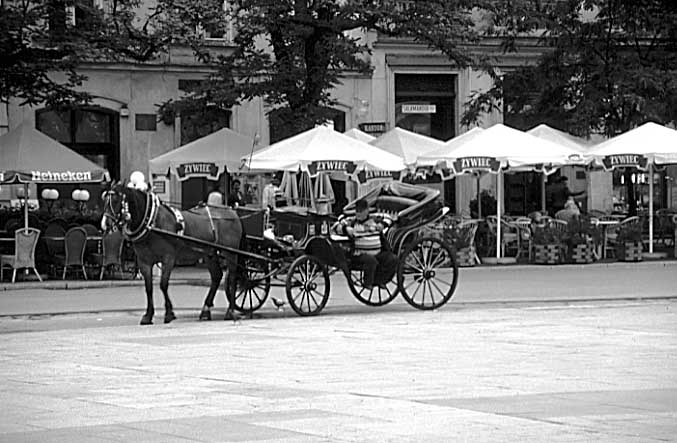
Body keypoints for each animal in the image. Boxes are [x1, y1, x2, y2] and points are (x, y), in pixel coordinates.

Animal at [101, 184, 244, 326]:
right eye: (105, 201)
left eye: (116, 200)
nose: (105, 223)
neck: (152, 222)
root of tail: (231, 211)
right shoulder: (144, 262)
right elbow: (149, 288)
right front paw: (148, 316)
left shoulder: (168, 259)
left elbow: (163, 285)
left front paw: (169, 313)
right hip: (210, 254)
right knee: (217, 277)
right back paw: (205, 310)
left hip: (231, 252)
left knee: (232, 278)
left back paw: (230, 311)